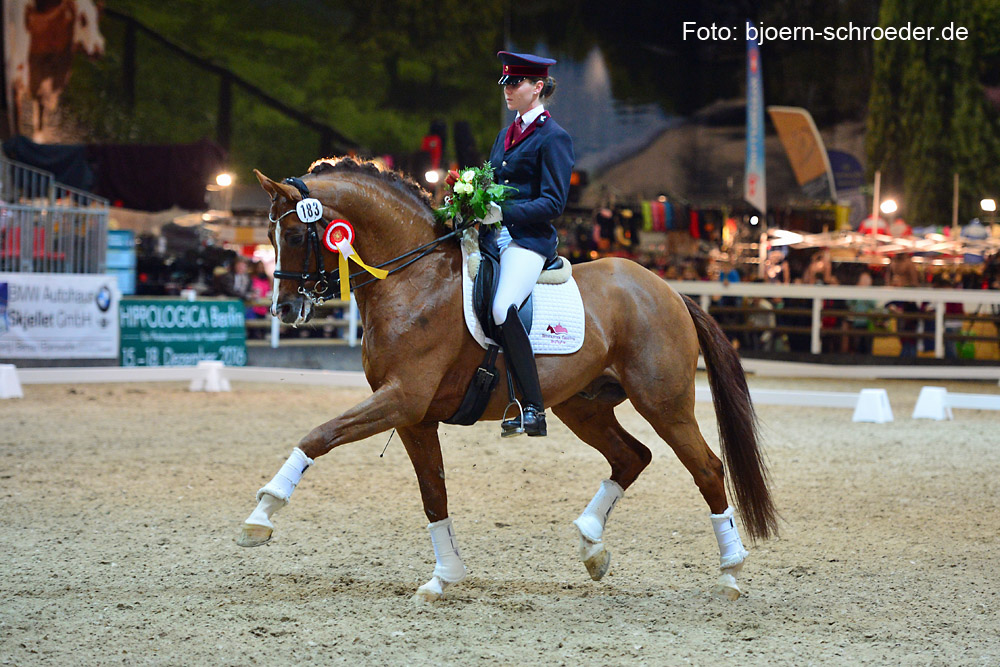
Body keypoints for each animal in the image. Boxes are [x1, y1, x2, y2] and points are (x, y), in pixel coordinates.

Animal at [238, 159, 776, 604]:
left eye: (295, 235)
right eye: (268, 234)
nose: (284, 310)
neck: (413, 278)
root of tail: (668, 290)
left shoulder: (402, 399)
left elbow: (319, 435)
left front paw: (260, 515)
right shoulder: (413, 417)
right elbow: (434, 494)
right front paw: (444, 577)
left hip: (664, 402)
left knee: (707, 468)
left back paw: (730, 572)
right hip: (583, 405)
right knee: (632, 456)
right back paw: (591, 546)